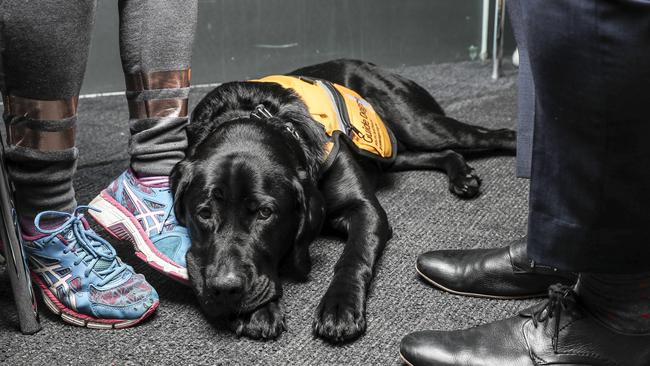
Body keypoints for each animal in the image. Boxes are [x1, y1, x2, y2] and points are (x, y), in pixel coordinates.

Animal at [170, 58, 512, 342]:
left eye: (265, 213)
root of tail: (370, 63)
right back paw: (461, 175)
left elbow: (353, 257)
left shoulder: (366, 210)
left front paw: (340, 307)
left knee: (494, 134)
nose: (225, 289)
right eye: (203, 212)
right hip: (396, 151)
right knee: (437, 153)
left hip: (420, 125)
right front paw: (258, 311)